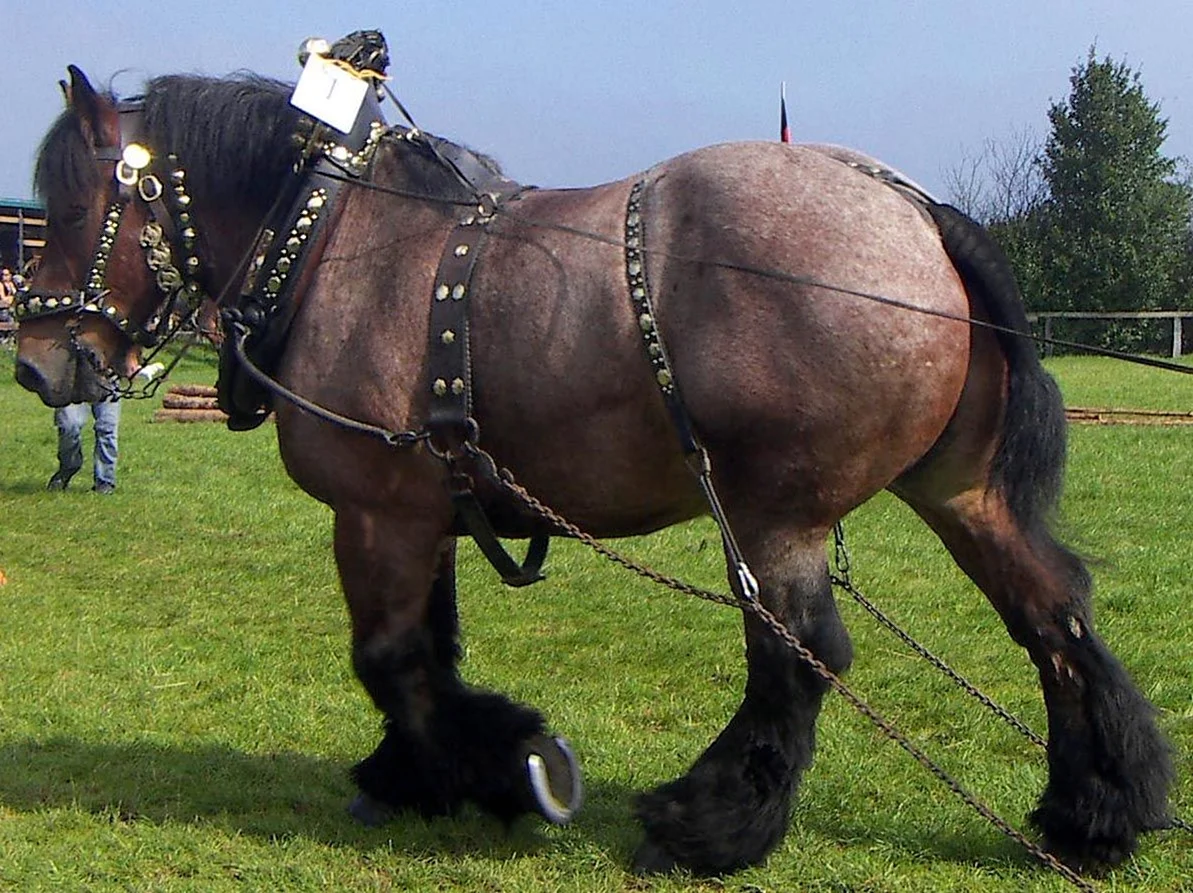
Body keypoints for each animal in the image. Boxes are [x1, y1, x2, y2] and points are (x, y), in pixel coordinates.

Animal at [16, 66, 1173, 872]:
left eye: (69, 212)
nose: (35, 362)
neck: (332, 246)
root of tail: (915, 213)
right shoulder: (427, 507)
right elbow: (425, 651)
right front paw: (420, 770)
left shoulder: (375, 508)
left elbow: (389, 656)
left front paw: (509, 766)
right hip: (954, 490)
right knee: (1053, 614)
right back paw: (1096, 808)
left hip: (772, 510)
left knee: (799, 654)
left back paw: (706, 824)